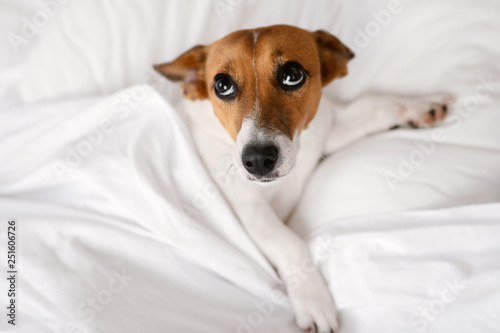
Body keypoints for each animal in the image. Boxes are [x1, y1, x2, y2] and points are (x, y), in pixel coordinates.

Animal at [154, 24, 452, 330]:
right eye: (222, 85)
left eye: (292, 74)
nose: (257, 160)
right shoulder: (250, 210)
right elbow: (289, 243)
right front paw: (312, 298)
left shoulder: (326, 128)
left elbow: (373, 104)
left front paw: (418, 105)